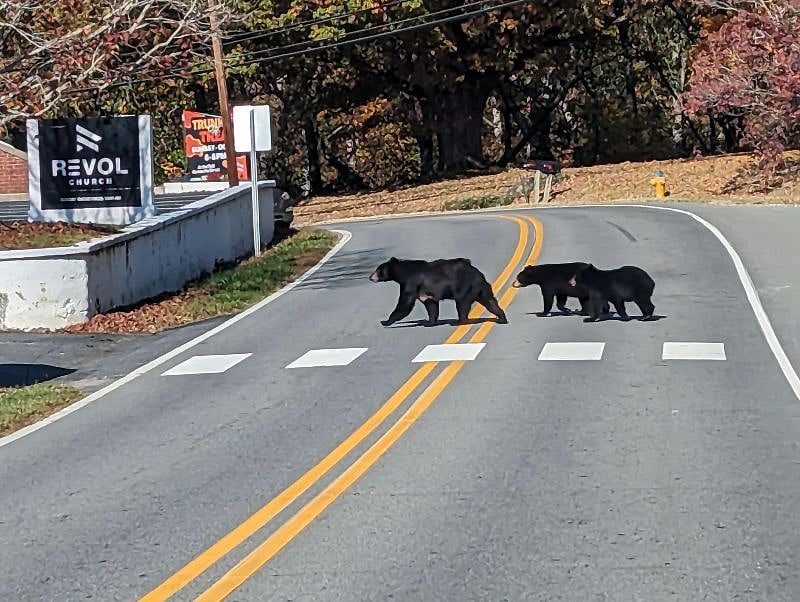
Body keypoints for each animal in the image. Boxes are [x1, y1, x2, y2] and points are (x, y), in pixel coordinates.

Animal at [369, 256, 508, 327]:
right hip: (481, 289)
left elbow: (404, 304)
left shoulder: (411, 283)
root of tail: (478, 273)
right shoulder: (425, 293)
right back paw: (502, 318)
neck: (402, 274)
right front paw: (430, 322)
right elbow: (431, 306)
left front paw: (385, 321)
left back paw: (459, 321)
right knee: (490, 301)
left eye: (378, 269)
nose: (370, 277)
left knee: (462, 304)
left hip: (464, 288)